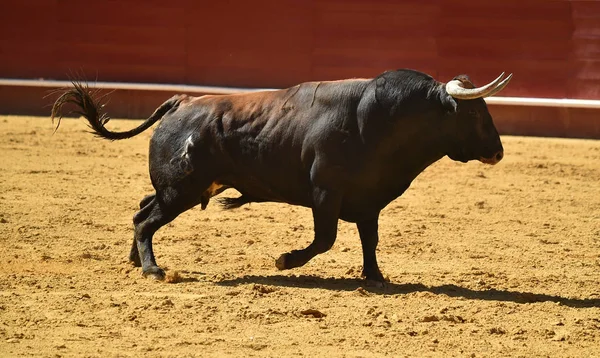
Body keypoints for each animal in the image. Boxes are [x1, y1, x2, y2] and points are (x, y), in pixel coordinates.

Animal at [52, 69, 510, 282]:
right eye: (474, 112)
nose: (498, 152)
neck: (381, 120)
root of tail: (181, 102)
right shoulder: (326, 193)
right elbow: (325, 240)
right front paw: (285, 260)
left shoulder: (368, 200)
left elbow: (369, 240)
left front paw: (376, 277)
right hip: (180, 190)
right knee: (147, 221)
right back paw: (153, 269)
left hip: (173, 189)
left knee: (140, 212)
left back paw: (135, 260)